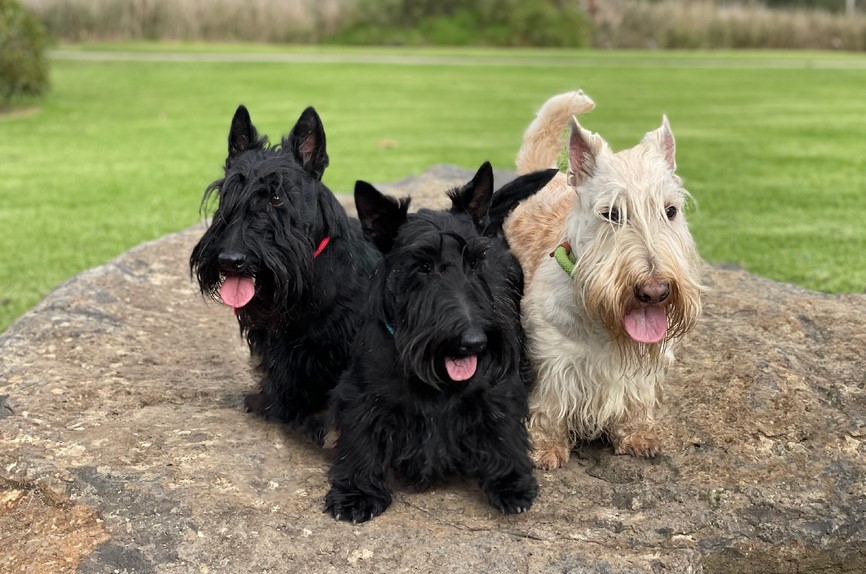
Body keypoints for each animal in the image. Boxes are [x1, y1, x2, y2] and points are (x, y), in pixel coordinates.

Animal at [322, 161, 552, 520]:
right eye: (423, 266)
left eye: (474, 262)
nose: (474, 342)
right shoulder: (361, 395)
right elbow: (360, 440)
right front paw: (356, 492)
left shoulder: (498, 390)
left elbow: (504, 432)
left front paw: (511, 483)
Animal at [506, 89, 704, 468]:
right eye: (611, 214)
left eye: (670, 211)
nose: (655, 291)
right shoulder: (551, 360)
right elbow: (548, 406)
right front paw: (546, 448)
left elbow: (637, 398)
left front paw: (636, 435)